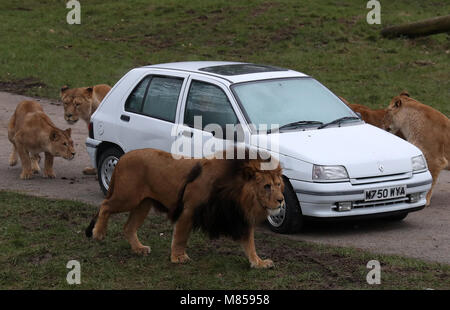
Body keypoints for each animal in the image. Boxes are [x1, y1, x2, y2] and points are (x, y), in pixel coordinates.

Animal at [85, 148, 284, 268]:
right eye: (267, 186)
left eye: (279, 185)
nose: (282, 200)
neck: (236, 194)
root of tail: (123, 157)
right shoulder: (188, 210)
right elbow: (181, 237)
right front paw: (178, 258)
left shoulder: (237, 218)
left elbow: (250, 244)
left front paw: (259, 262)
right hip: (128, 197)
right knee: (105, 206)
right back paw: (98, 233)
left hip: (143, 204)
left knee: (128, 227)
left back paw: (139, 249)